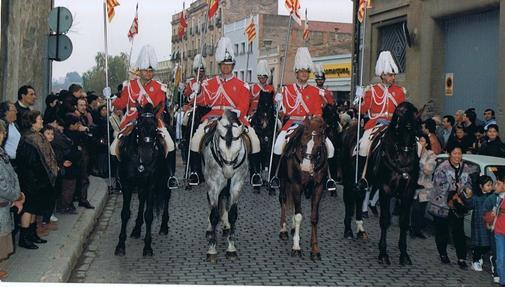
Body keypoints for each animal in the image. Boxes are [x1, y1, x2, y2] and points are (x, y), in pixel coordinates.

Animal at [113, 103, 169, 256]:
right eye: (138, 125)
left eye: (155, 126)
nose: (147, 154)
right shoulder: (127, 185)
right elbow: (125, 213)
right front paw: (120, 245)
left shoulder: (151, 184)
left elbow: (149, 215)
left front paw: (148, 246)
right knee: (141, 200)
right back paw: (137, 229)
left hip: (165, 179)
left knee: (166, 197)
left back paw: (164, 227)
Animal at [364, 102, 420, 266]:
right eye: (399, 116)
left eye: (416, 118)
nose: (407, 151)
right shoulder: (385, 190)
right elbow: (385, 220)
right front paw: (383, 252)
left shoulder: (408, 192)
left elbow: (404, 222)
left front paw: (404, 253)